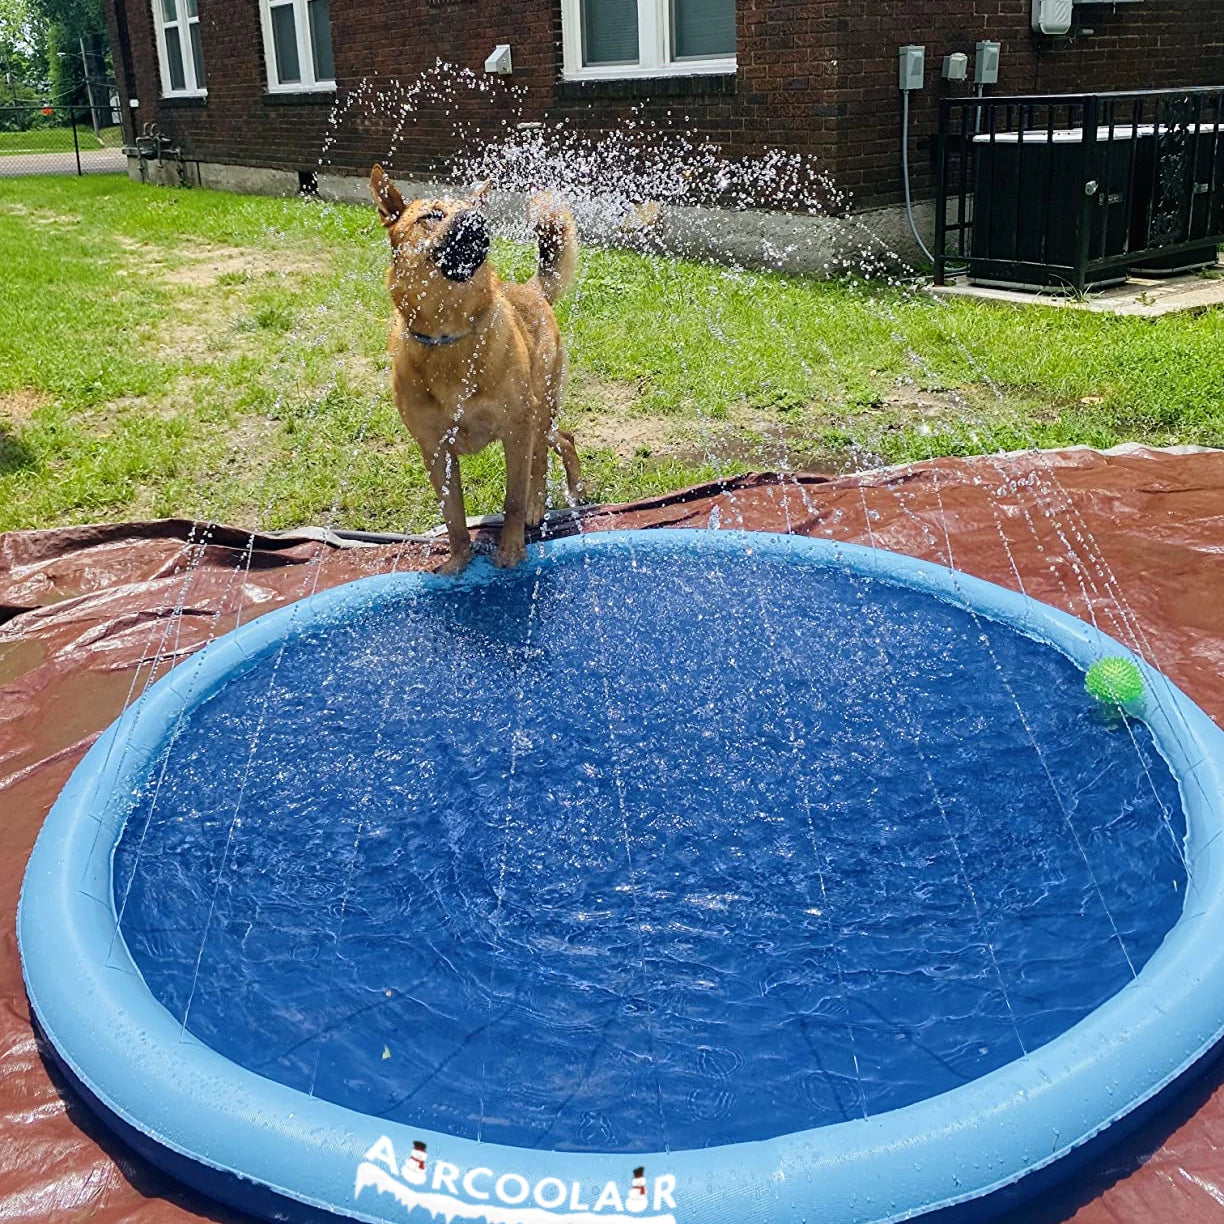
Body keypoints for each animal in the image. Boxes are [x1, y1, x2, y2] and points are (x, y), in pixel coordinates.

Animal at [367, 161, 582, 572]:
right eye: (431, 215)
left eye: (472, 209)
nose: (476, 219)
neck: (448, 337)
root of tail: (530, 289)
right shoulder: (435, 449)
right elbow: (453, 515)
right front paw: (458, 562)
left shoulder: (516, 429)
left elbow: (512, 500)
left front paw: (511, 550)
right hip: (538, 415)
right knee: (562, 439)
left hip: (538, 408)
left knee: (545, 456)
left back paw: (552, 499)